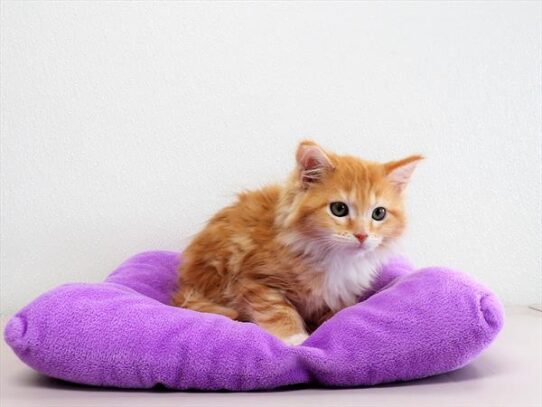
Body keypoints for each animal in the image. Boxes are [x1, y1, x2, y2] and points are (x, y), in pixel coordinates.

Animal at [172, 142, 422, 346]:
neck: (333, 257)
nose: (362, 235)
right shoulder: (255, 279)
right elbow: (277, 310)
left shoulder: (339, 295)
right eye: (339, 209)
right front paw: (296, 339)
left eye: (379, 213)